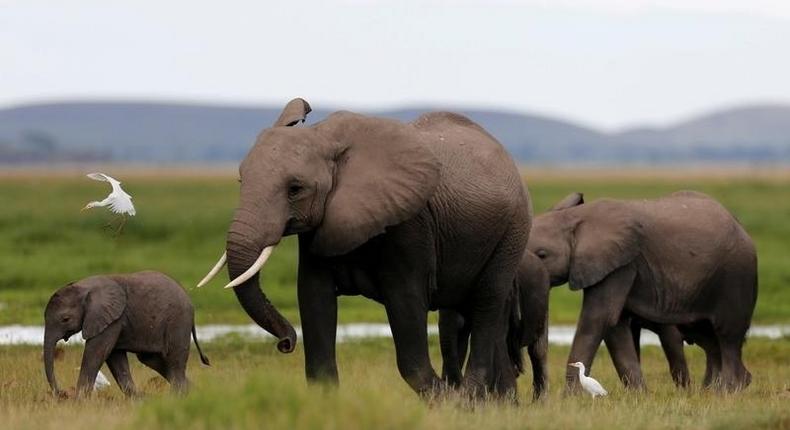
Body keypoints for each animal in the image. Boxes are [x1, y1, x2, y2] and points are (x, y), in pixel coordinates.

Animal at [43, 270, 209, 398]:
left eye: (65, 319)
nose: (61, 393)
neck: (84, 286)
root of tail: (190, 301)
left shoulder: (111, 319)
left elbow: (96, 352)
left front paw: (79, 401)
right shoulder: (112, 320)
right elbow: (114, 357)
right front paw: (140, 400)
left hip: (178, 320)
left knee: (174, 361)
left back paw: (177, 398)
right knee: (153, 360)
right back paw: (194, 393)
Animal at [197, 99, 532, 398]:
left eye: (295, 189)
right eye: (240, 181)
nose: (285, 343)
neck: (324, 137)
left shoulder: (409, 224)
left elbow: (406, 304)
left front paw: (446, 401)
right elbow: (313, 297)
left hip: (512, 231)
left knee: (487, 302)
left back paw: (469, 399)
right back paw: (496, 404)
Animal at [528, 191, 756, 394]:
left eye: (542, 254)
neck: (575, 217)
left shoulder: (622, 264)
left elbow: (598, 319)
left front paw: (570, 398)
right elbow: (615, 326)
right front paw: (639, 395)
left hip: (735, 277)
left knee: (728, 336)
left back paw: (727, 391)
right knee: (710, 339)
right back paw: (713, 391)